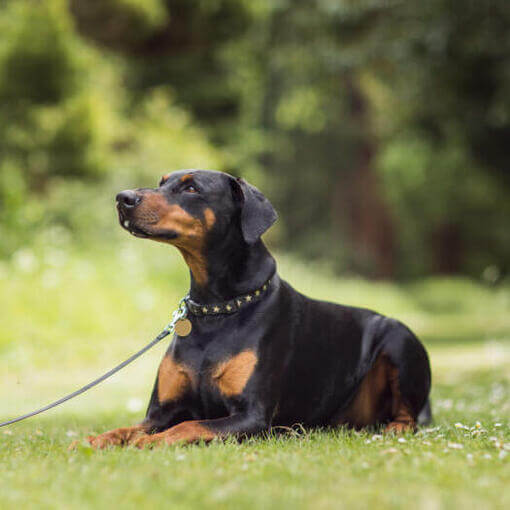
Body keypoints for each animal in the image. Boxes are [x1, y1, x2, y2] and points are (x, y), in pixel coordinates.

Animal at [86, 169, 430, 448]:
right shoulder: (160, 412)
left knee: (409, 416)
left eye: (191, 188)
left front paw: (152, 441)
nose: (123, 198)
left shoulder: (252, 415)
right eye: (161, 182)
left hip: (399, 339)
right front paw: (91, 440)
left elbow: (190, 425)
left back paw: (395, 428)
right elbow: (125, 429)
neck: (216, 308)